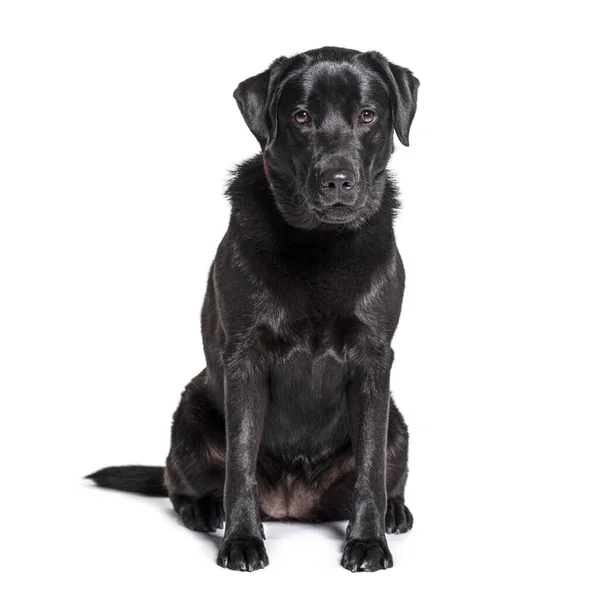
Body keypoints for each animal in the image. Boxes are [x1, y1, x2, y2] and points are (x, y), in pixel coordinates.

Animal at [89, 47, 420, 572]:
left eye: (368, 115)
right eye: (301, 117)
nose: (338, 181)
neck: (319, 245)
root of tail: (292, 505)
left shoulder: (374, 362)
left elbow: (370, 466)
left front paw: (368, 542)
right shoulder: (245, 360)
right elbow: (239, 463)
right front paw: (242, 539)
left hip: (398, 422)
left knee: (385, 472)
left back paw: (393, 512)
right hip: (190, 412)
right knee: (179, 484)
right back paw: (205, 511)